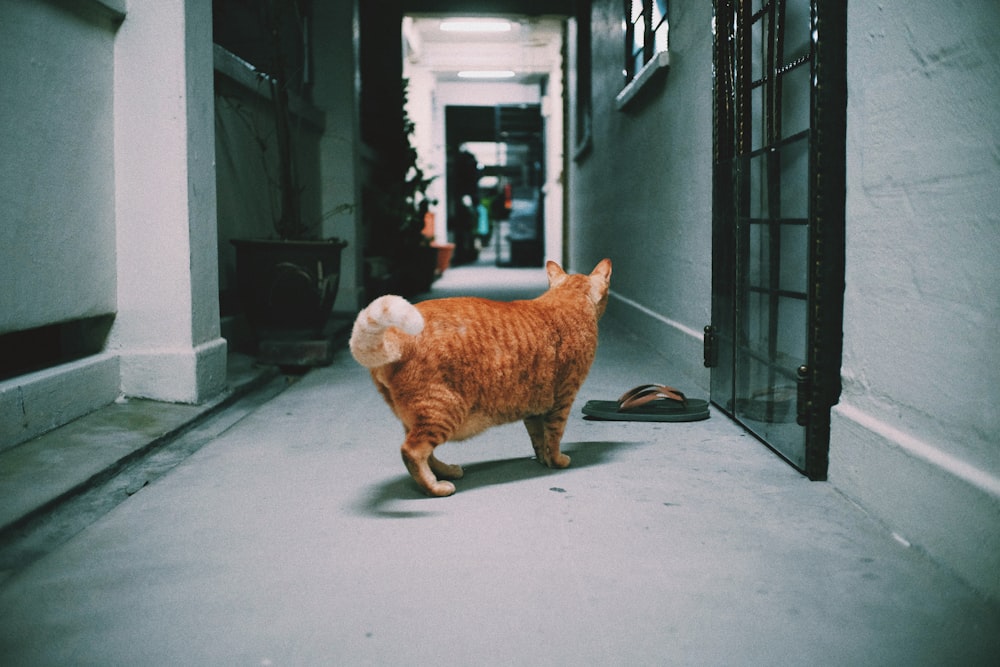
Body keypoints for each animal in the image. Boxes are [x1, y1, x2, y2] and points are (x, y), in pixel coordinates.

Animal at [352, 260, 608, 496]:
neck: (566, 301)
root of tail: (397, 337)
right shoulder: (562, 400)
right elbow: (554, 437)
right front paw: (556, 461)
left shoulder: (534, 408)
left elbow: (539, 438)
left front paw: (542, 459)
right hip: (444, 411)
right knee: (412, 451)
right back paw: (435, 487)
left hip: (415, 418)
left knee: (427, 452)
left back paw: (446, 471)